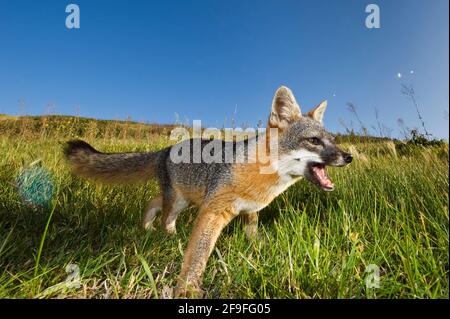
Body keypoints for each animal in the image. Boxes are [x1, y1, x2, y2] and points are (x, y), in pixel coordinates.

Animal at [64, 86, 352, 298]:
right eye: (314, 141)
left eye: (333, 140)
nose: (348, 157)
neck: (263, 177)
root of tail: (166, 149)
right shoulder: (213, 210)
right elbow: (199, 253)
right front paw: (188, 288)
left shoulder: (249, 210)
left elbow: (251, 233)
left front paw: (256, 247)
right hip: (180, 203)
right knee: (165, 216)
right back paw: (165, 234)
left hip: (185, 201)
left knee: (153, 201)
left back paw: (147, 226)